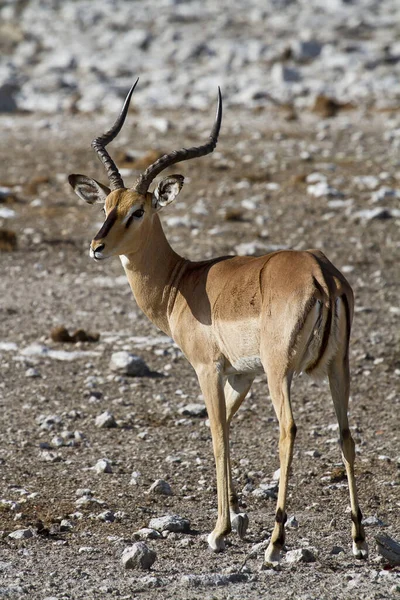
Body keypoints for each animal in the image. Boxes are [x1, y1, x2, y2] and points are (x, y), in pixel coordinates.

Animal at [69, 81, 368, 568]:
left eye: (139, 210)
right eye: (108, 206)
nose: (97, 246)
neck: (182, 280)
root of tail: (321, 273)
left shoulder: (208, 368)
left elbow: (216, 434)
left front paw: (220, 531)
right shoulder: (241, 376)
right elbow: (227, 428)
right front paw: (234, 517)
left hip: (281, 371)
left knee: (288, 430)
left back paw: (275, 543)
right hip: (337, 367)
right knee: (345, 434)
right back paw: (359, 538)